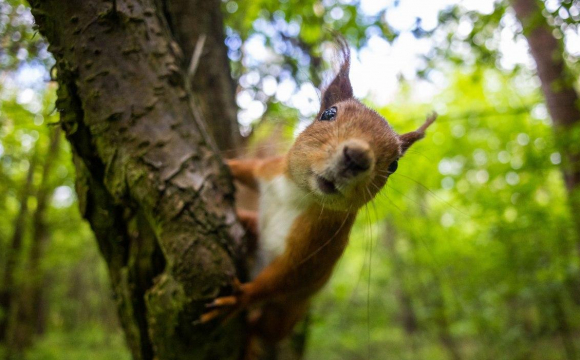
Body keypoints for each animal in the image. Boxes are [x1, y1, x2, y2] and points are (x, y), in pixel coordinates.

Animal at [204, 40, 436, 352]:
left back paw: (252, 335)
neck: (298, 195)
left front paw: (239, 298)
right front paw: (219, 160)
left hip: (286, 313)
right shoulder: (269, 171)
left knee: (267, 329)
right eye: (329, 114)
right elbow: (245, 170)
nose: (357, 157)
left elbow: (285, 278)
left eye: (394, 166)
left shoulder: (319, 246)